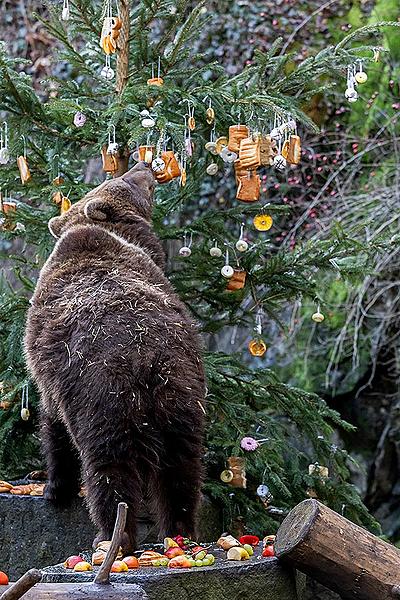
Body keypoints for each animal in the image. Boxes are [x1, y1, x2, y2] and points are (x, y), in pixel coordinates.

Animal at [24, 162, 206, 552]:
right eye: (122, 179)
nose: (142, 164)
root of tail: (148, 363)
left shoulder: (48, 368)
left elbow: (52, 423)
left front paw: (54, 488)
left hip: (102, 400)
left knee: (109, 472)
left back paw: (110, 535)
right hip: (182, 398)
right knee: (181, 469)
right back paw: (179, 529)